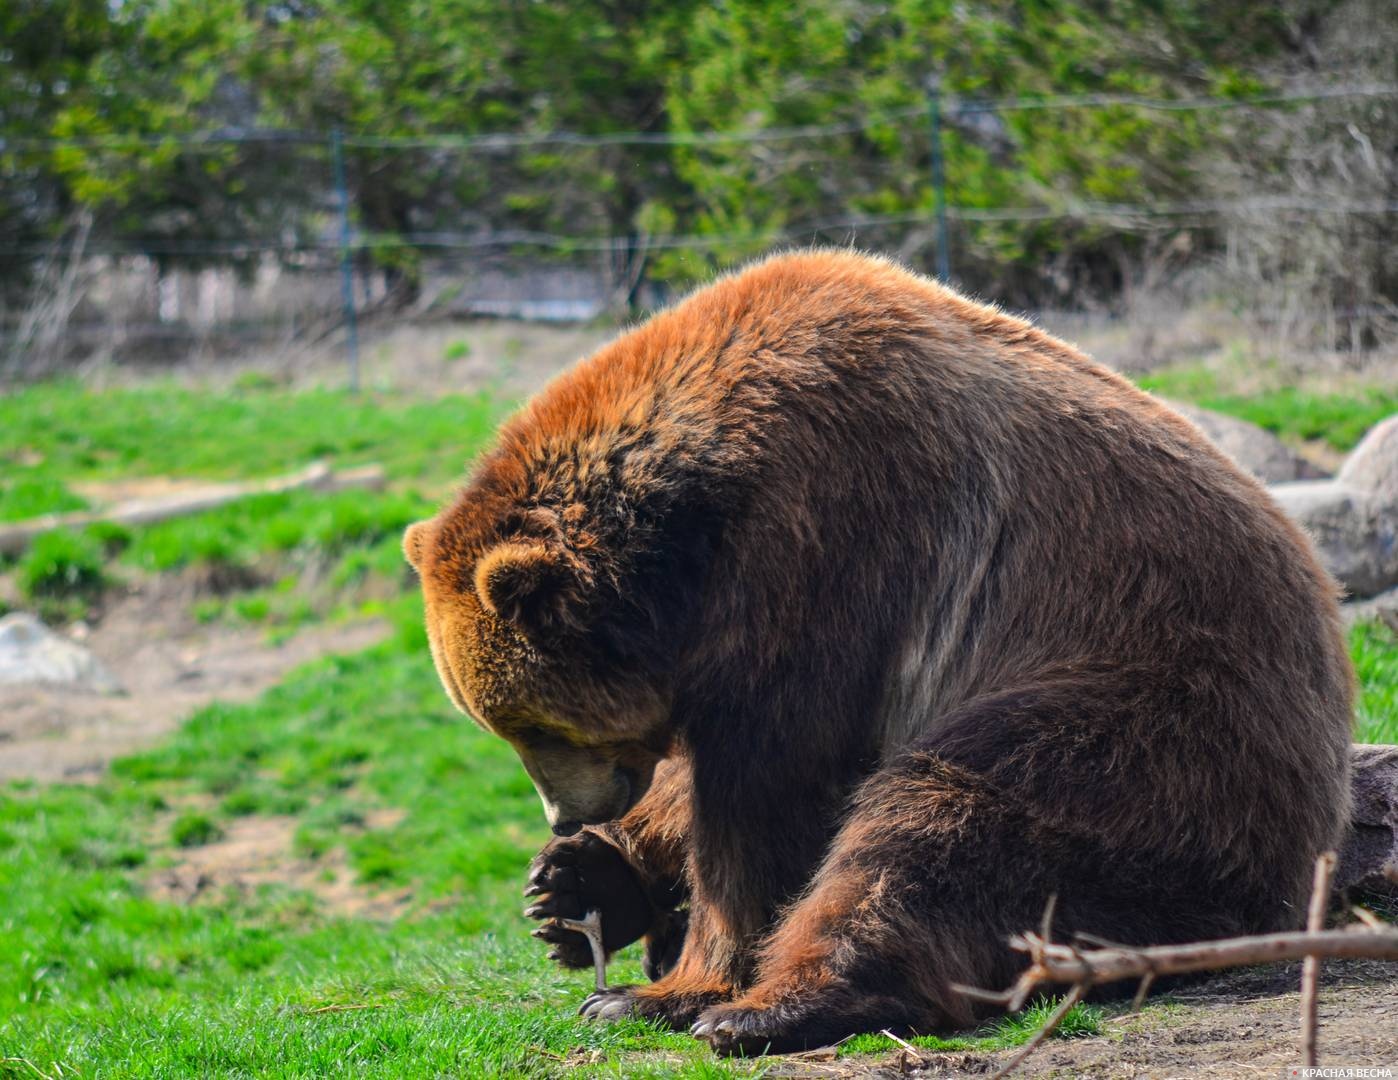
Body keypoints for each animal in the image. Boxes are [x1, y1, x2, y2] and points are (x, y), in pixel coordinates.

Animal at [402, 250, 1353, 1050]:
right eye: (502, 726)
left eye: (533, 725)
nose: (565, 816)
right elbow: (698, 780)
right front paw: (574, 884)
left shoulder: (831, 536)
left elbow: (769, 785)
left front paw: (666, 989)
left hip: (1147, 717)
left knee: (944, 822)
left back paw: (774, 1008)